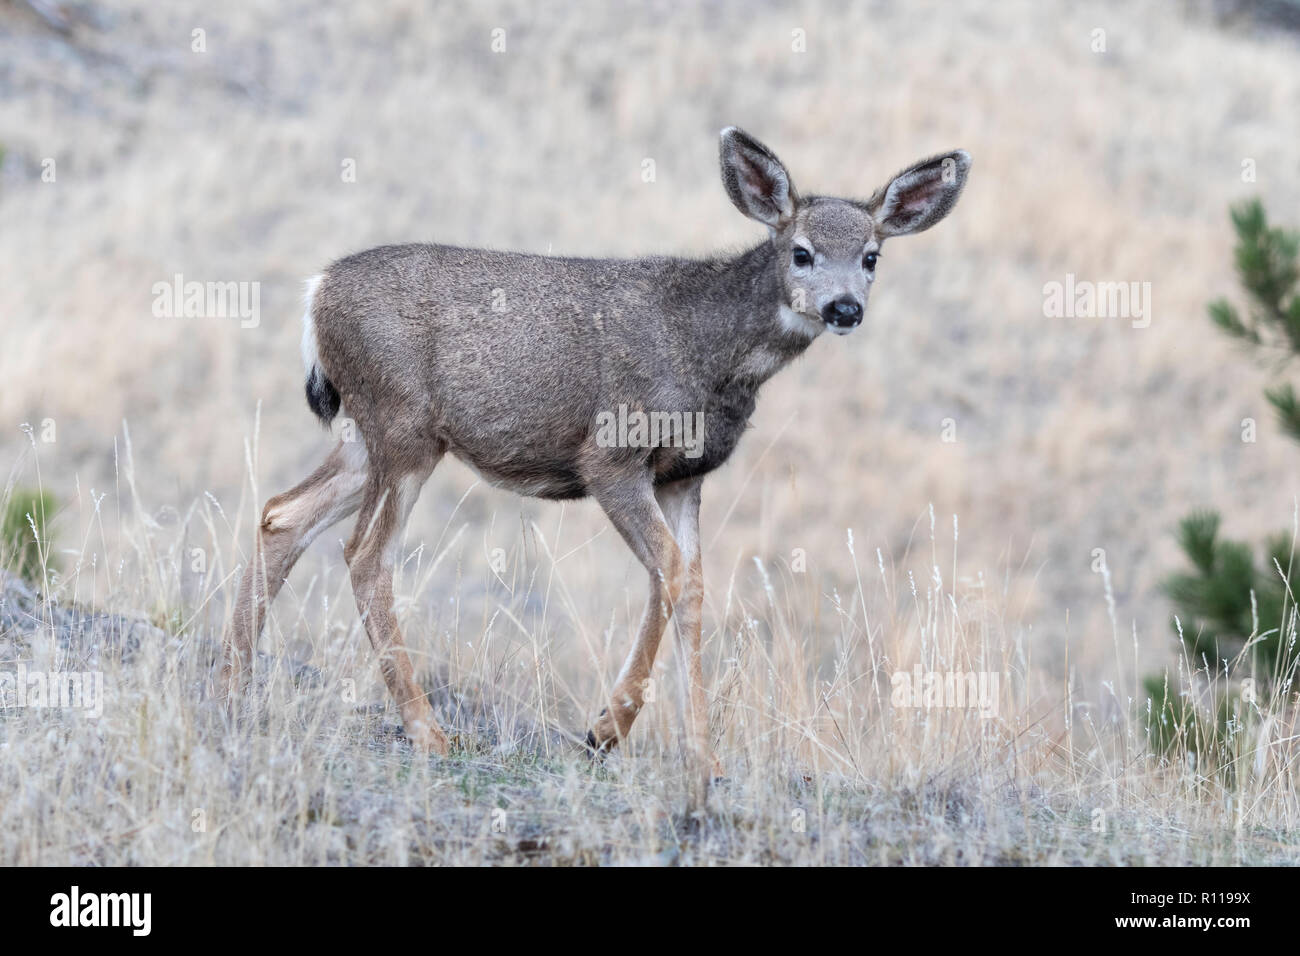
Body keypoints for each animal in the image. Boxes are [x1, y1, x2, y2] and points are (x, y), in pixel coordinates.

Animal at [223, 123, 972, 790]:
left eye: (872, 256)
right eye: (802, 252)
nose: (844, 308)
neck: (708, 352)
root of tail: (316, 291)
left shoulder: (684, 476)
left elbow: (691, 585)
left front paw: (701, 757)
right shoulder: (611, 457)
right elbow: (669, 570)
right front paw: (605, 733)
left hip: (367, 436)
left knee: (282, 514)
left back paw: (234, 680)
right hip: (402, 426)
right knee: (365, 553)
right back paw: (426, 730)